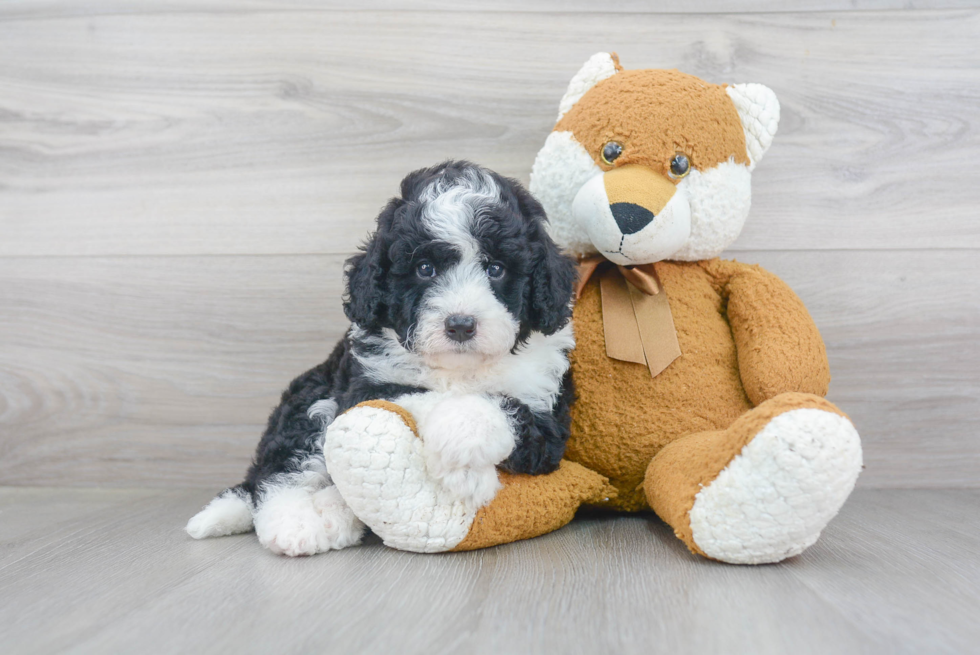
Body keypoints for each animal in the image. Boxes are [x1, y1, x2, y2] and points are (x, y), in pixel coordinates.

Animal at [188, 163, 580, 560]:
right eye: (425, 268)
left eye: (496, 269)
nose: (460, 324)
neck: (458, 368)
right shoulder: (366, 384)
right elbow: (418, 396)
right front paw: (467, 471)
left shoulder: (547, 419)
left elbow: (498, 405)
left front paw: (462, 456)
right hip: (313, 398)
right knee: (282, 473)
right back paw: (298, 525)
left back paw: (334, 514)